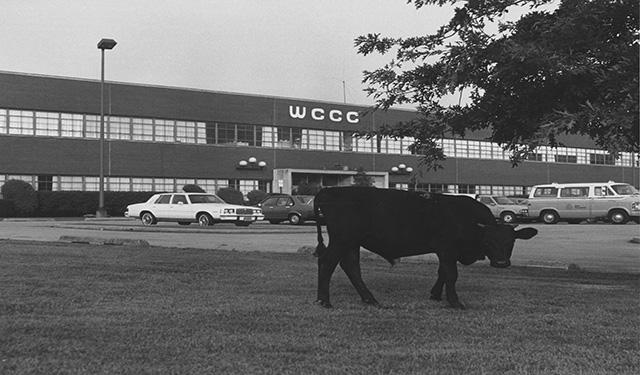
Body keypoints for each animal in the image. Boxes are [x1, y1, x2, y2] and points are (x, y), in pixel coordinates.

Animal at [312, 187, 536, 310]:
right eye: (488, 241)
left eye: (511, 242)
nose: (501, 263)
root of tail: (328, 190)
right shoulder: (447, 248)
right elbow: (451, 274)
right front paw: (455, 302)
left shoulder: (447, 252)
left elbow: (442, 273)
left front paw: (436, 295)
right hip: (342, 239)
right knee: (328, 262)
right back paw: (324, 301)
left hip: (352, 242)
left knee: (351, 266)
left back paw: (370, 299)